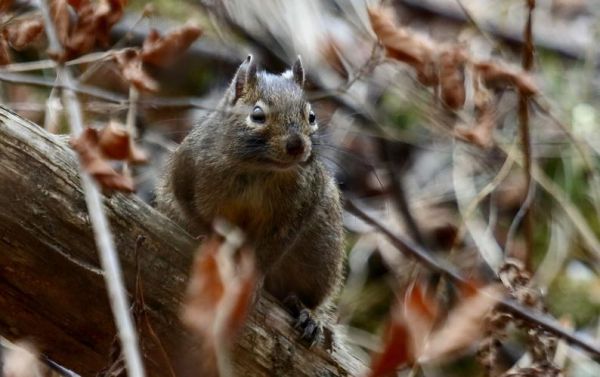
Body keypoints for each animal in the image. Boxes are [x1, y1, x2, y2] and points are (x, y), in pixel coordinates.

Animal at [155, 53, 344, 344]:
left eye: (311, 116)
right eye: (257, 115)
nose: (297, 145)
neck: (260, 169)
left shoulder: (298, 210)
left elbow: (268, 252)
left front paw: (252, 282)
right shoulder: (184, 174)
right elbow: (198, 217)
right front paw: (209, 240)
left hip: (322, 257)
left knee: (313, 297)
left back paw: (308, 313)